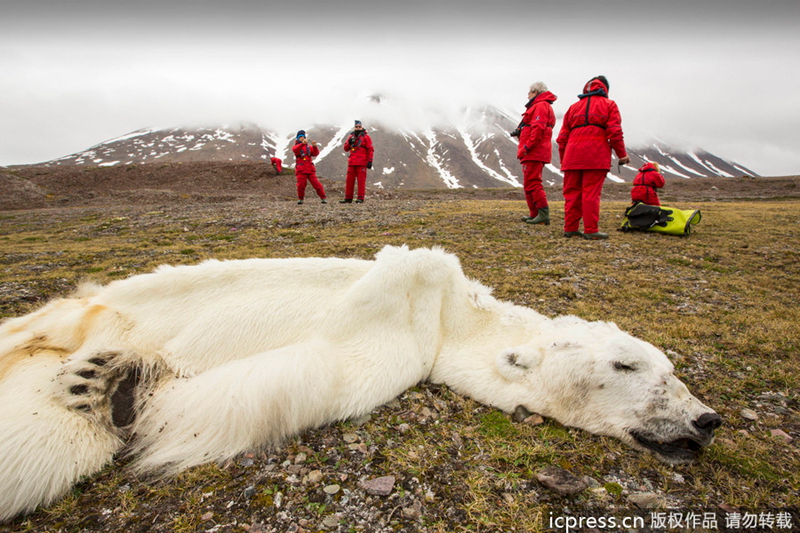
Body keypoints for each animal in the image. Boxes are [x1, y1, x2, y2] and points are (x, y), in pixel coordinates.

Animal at [0, 245, 720, 520]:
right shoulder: (406, 307)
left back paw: (99, 379)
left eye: (671, 370)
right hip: (102, 303)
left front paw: (123, 389)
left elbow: (297, 375)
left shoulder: (404, 347)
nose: (706, 419)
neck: (450, 316)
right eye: (628, 364)